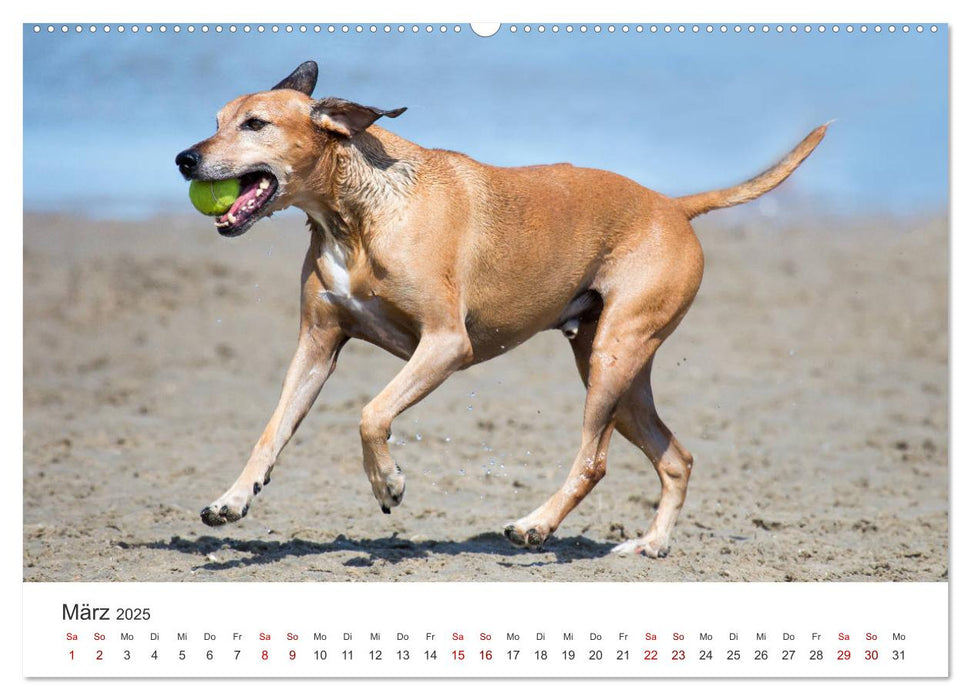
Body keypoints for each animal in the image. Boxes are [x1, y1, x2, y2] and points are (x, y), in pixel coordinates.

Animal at [175, 61, 828, 556]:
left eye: (256, 123)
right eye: (216, 121)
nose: (185, 158)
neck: (357, 213)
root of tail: (673, 206)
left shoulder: (445, 345)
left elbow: (371, 413)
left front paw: (388, 484)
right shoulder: (317, 343)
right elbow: (272, 431)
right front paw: (233, 498)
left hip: (614, 355)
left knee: (593, 462)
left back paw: (536, 524)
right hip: (614, 369)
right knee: (676, 459)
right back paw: (651, 543)